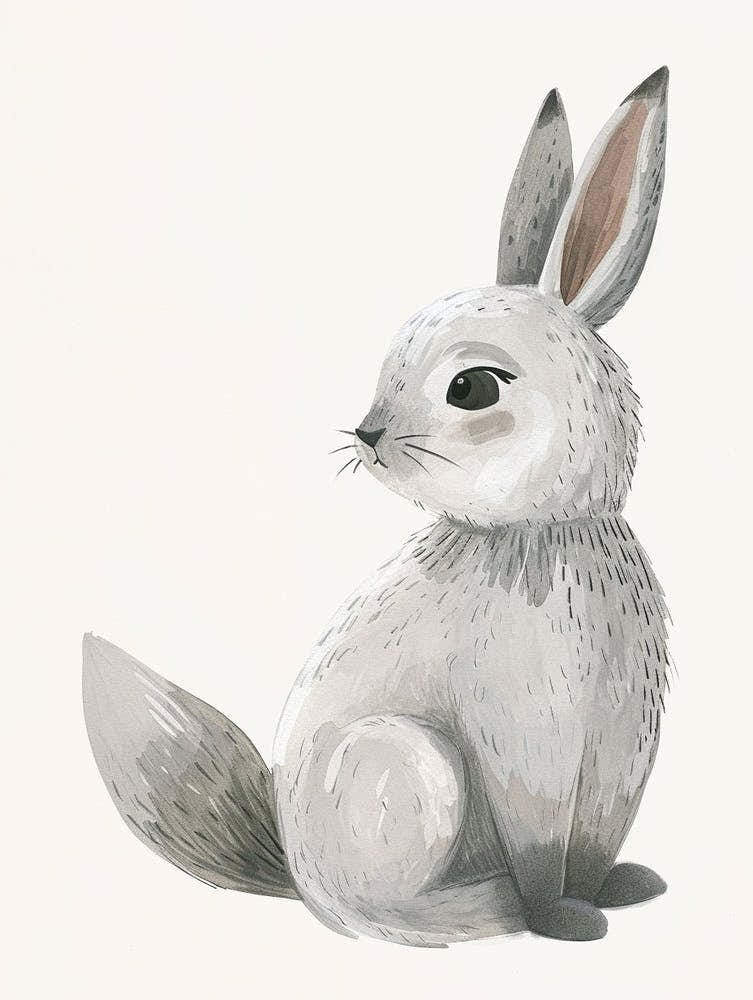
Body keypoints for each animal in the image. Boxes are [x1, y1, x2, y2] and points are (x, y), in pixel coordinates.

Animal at [83, 67, 670, 946]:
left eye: (472, 388)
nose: (366, 433)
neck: (541, 531)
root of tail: (300, 878)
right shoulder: (524, 745)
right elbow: (540, 851)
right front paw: (561, 920)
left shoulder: (619, 749)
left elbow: (596, 843)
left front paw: (618, 890)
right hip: (410, 766)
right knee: (377, 913)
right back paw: (473, 910)